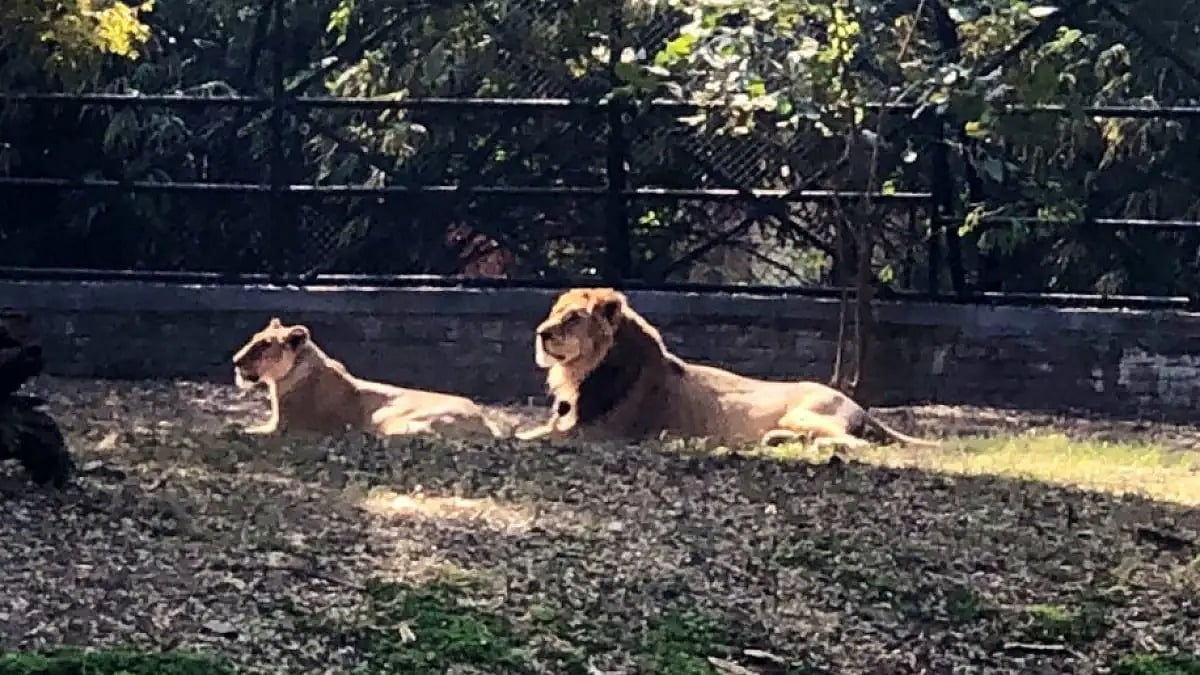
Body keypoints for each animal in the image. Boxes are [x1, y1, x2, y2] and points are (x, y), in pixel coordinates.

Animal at [232, 318, 501, 440]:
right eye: (254, 339)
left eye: (264, 346)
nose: (235, 360)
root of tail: (486, 421)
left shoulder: (286, 428)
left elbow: (244, 430)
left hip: (387, 419)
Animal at [515, 288, 939, 450]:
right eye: (554, 311)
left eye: (572, 318)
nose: (540, 333)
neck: (578, 374)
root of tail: (860, 407)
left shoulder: (600, 432)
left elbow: (533, 437)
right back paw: (775, 441)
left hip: (806, 413)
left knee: (858, 444)